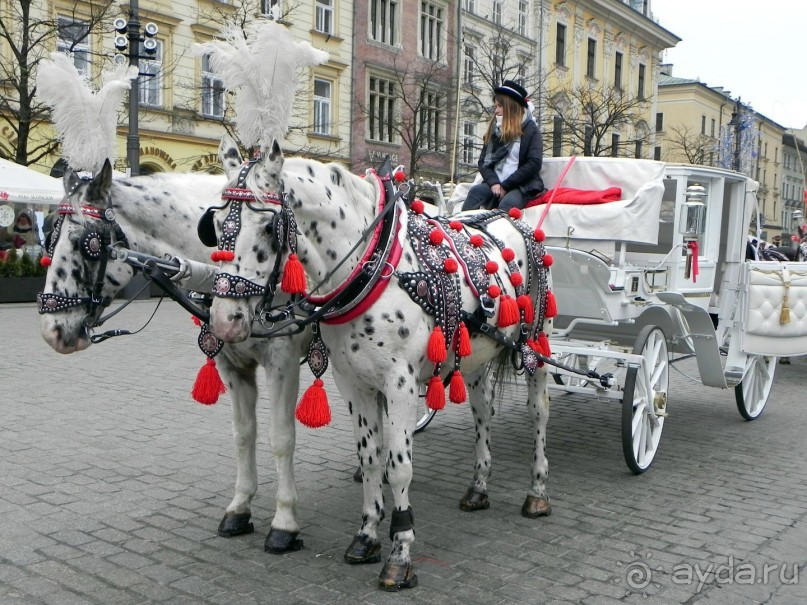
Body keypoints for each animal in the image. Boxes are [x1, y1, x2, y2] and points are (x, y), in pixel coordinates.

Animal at [38, 158, 316, 556]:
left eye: (85, 245)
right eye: (48, 238)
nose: (52, 331)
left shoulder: (283, 362)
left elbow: (282, 438)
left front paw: (285, 522)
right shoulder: (232, 366)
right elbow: (243, 434)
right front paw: (240, 507)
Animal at [204, 138, 556, 588]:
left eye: (268, 228)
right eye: (213, 226)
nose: (224, 321)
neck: (373, 263)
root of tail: (517, 221)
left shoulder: (400, 384)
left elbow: (399, 466)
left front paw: (400, 555)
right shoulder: (351, 381)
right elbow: (371, 457)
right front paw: (367, 535)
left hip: (537, 346)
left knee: (538, 413)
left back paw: (537, 493)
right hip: (476, 359)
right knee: (483, 414)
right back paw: (478, 487)